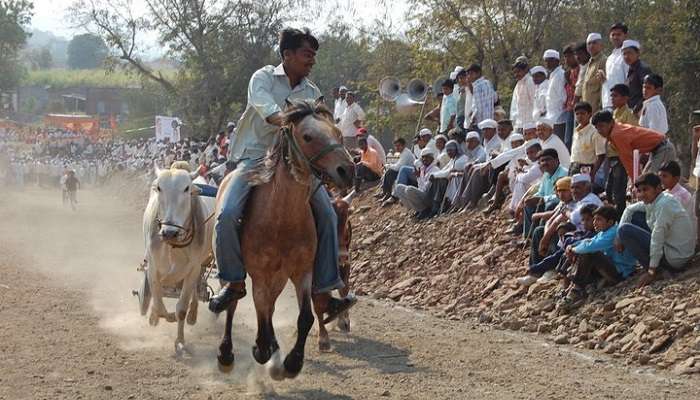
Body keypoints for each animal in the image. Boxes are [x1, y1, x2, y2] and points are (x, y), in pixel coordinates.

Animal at [213, 99, 356, 378]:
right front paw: (262, 349)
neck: (281, 218)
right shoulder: (260, 274)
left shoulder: (302, 271)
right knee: (234, 302)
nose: (347, 169)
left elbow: (306, 317)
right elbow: (261, 310)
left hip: (281, 276)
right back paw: (227, 353)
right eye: (307, 136)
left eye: (338, 133)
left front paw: (291, 362)